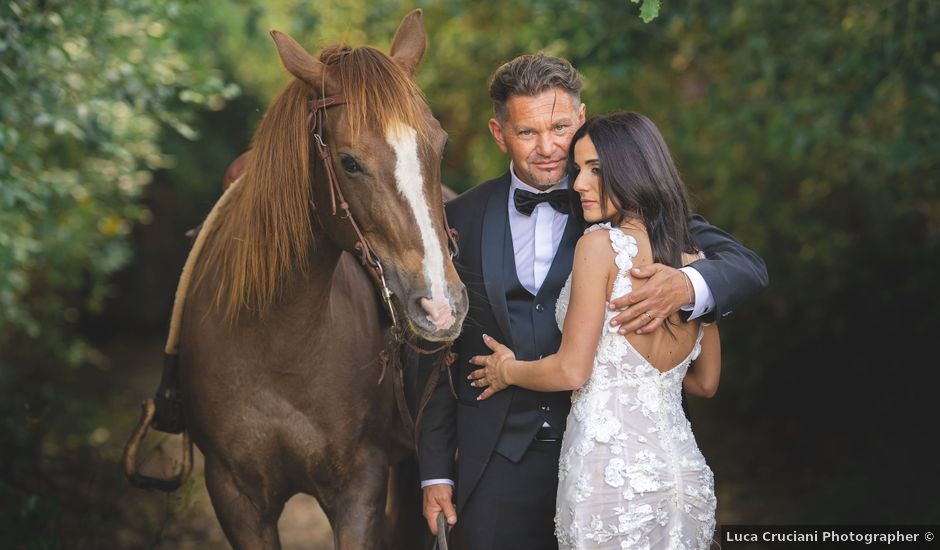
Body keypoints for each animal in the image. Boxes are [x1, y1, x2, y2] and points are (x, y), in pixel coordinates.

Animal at [130, 10, 468, 548]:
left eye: (439, 144)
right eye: (349, 162)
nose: (440, 306)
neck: (277, 340)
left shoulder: (359, 491)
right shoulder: (236, 499)